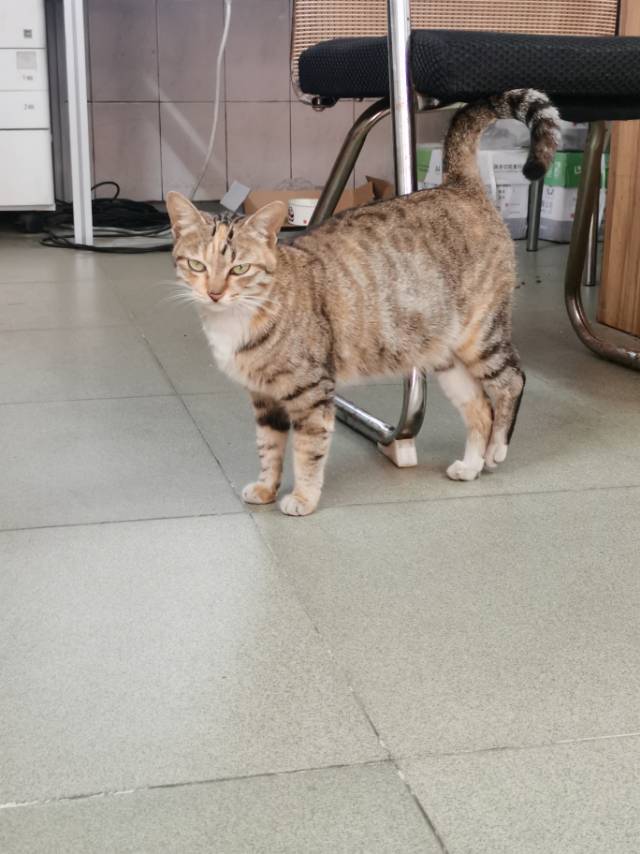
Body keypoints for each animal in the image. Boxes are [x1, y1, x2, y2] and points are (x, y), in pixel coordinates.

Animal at [166, 89, 560, 516]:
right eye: (197, 265)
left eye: (239, 268)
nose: (214, 292)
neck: (238, 318)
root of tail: (458, 184)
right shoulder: (265, 399)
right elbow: (268, 447)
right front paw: (267, 488)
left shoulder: (311, 392)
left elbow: (307, 451)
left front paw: (303, 498)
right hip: (445, 353)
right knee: (479, 408)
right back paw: (470, 465)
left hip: (481, 333)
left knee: (510, 381)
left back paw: (497, 450)